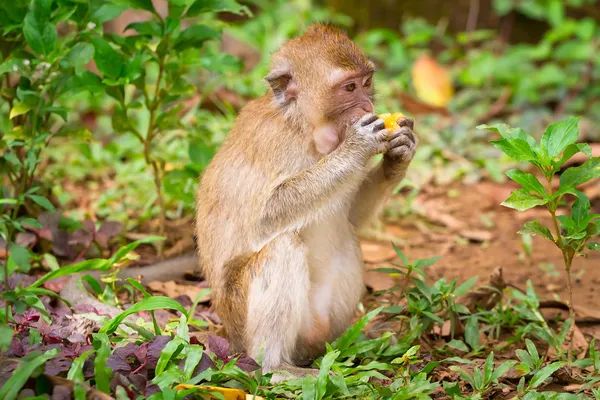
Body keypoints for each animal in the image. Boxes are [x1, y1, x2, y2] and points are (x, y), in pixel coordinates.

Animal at [193, 23, 418, 380]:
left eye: (367, 83)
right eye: (349, 87)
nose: (368, 109)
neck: (305, 127)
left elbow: (353, 216)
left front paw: (399, 154)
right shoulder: (272, 141)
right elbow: (264, 218)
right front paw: (358, 146)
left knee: (346, 236)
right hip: (240, 318)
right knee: (282, 244)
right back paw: (275, 365)